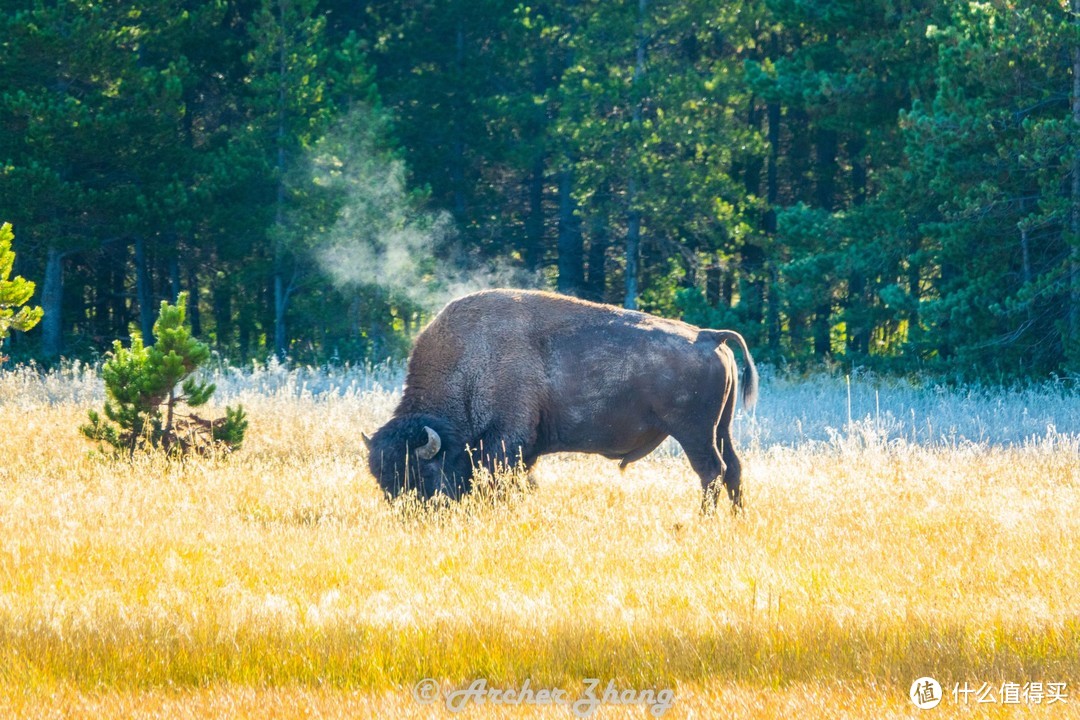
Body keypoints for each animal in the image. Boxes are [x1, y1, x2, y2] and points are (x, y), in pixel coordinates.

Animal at [365, 289, 760, 511]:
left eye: (421, 472)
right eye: (383, 482)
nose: (410, 515)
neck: (470, 364)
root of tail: (708, 336)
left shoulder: (505, 442)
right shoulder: (524, 450)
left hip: (694, 433)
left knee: (711, 471)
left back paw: (704, 520)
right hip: (721, 428)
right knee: (734, 469)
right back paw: (736, 520)